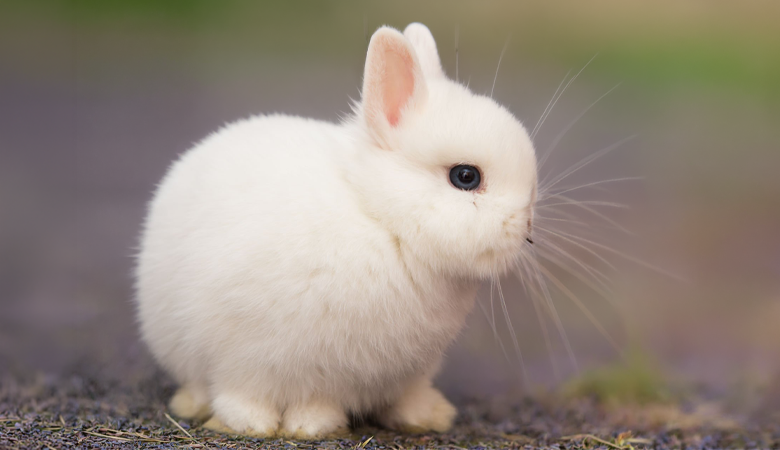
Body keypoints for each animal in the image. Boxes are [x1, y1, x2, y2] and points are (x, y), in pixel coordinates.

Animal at [135, 22, 537, 438]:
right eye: (466, 176)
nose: (527, 225)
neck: (383, 221)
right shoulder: (252, 354)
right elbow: (260, 394)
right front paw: (291, 426)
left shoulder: (403, 370)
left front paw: (424, 417)